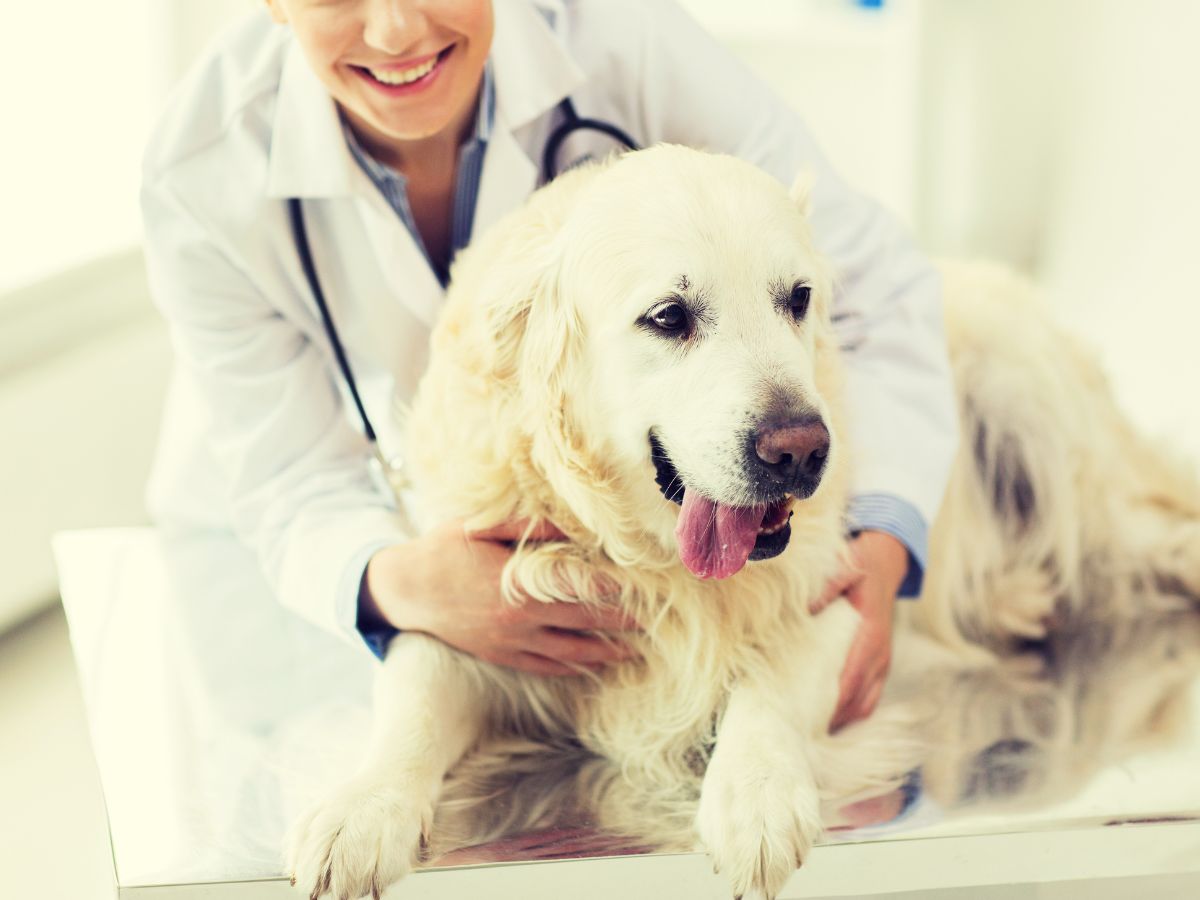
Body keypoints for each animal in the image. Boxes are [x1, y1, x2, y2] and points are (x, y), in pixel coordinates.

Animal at [283, 146, 1200, 900]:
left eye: (797, 298)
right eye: (668, 317)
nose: (801, 450)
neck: (655, 567)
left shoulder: (846, 603)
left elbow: (771, 682)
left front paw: (754, 795)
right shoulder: (476, 602)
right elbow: (414, 695)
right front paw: (359, 809)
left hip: (1037, 412)